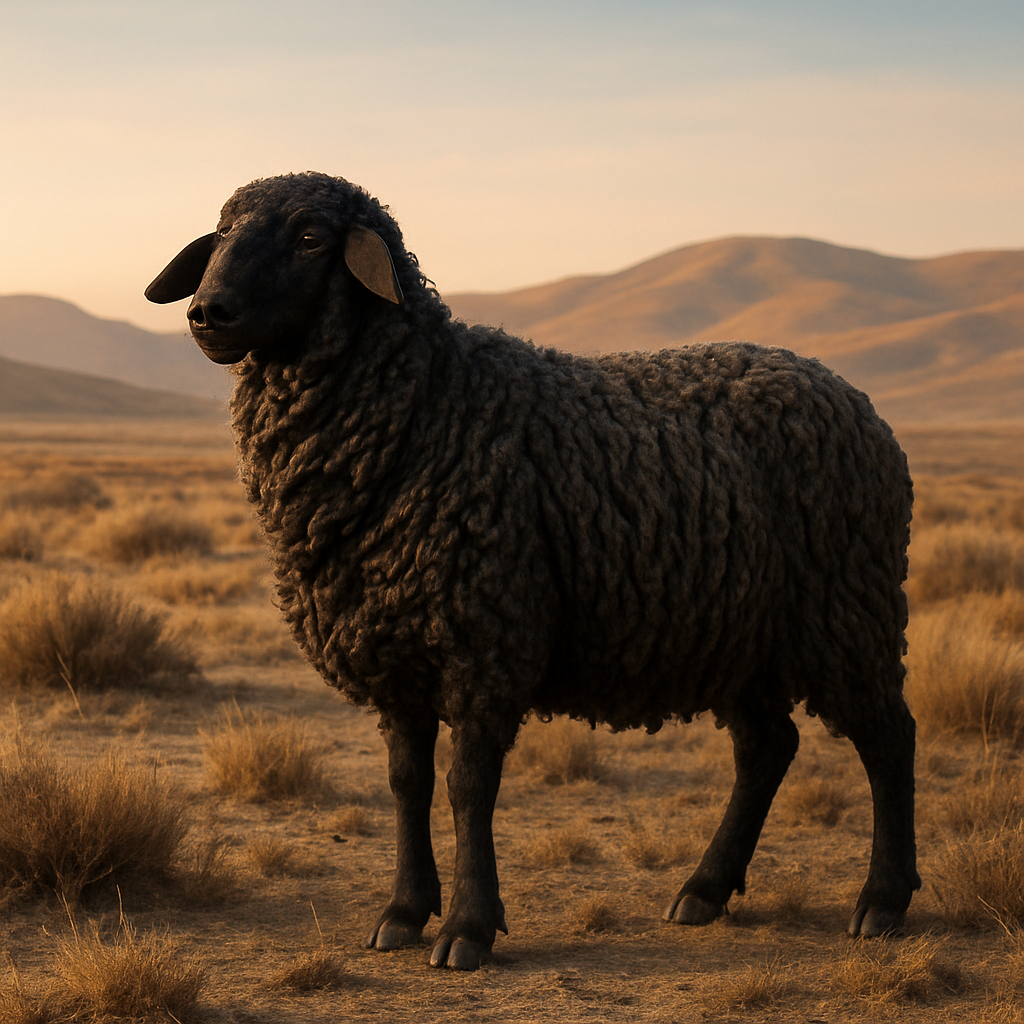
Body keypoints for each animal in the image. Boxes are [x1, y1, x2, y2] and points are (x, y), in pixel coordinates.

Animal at [145, 171, 919, 971]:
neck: (427, 403)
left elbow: (468, 788)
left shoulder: (484, 638)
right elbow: (406, 783)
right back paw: (704, 890)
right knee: (767, 748)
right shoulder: (396, 653)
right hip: (742, 635)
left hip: (848, 611)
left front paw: (467, 928)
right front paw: (403, 912)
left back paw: (881, 902)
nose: (207, 313)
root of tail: (855, 399)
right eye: (221, 233)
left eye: (308, 237)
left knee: (889, 740)